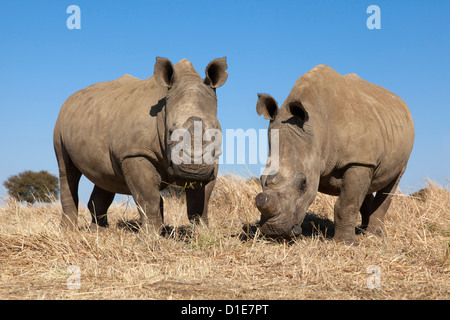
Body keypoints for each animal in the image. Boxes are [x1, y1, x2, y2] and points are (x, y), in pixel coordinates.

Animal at [53, 57, 229, 231]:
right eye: (170, 132)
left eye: (215, 133)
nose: (193, 170)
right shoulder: (135, 153)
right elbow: (148, 198)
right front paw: (150, 235)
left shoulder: (213, 158)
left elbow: (200, 202)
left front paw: (203, 233)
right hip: (60, 123)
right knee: (66, 170)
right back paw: (67, 231)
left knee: (104, 176)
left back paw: (99, 231)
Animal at [256, 64, 414, 242]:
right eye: (260, 179)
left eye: (303, 183)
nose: (273, 230)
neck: (318, 128)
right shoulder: (358, 159)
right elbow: (353, 197)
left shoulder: (358, 160)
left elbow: (346, 204)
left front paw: (346, 243)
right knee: (366, 186)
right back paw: (364, 231)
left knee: (391, 183)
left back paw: (374, 235)